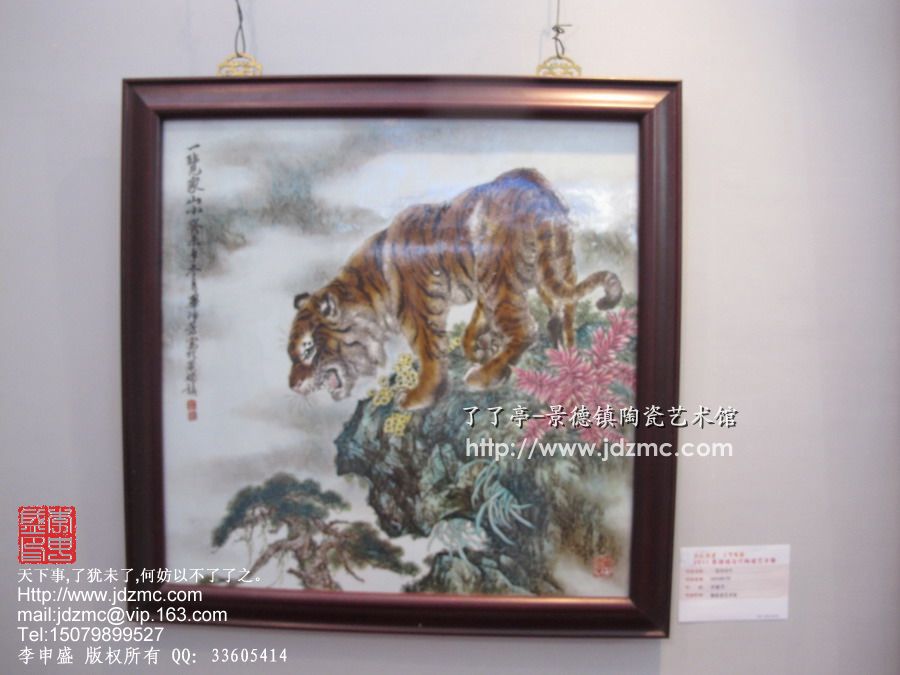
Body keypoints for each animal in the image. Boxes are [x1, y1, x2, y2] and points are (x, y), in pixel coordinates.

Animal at [288, 168, 622, 410]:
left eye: (308, 349)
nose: (292, 386)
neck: (369, 290)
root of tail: (537, 191)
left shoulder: (417, 311)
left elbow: (430, 354)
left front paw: (419, 397)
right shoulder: (482, 291)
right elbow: (475, 324)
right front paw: (480, 347)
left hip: (499, 277)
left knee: (527, 329)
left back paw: (484, 377)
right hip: (553, 267)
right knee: (562, 313)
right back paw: (564, 358)